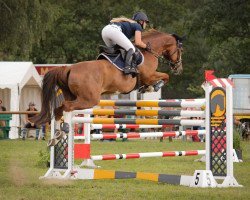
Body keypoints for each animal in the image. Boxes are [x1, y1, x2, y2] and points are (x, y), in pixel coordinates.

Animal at [33, 28, 184, 124]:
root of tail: (69, 68)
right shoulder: (149, 75)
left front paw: (146, 88)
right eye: (180, 50)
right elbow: (165, 76)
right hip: (89, 99)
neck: (148, 52)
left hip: (72, 94)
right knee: (66, 106)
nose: (179, 68)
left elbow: (163, 77)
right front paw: (153, 87)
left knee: (59, 109)